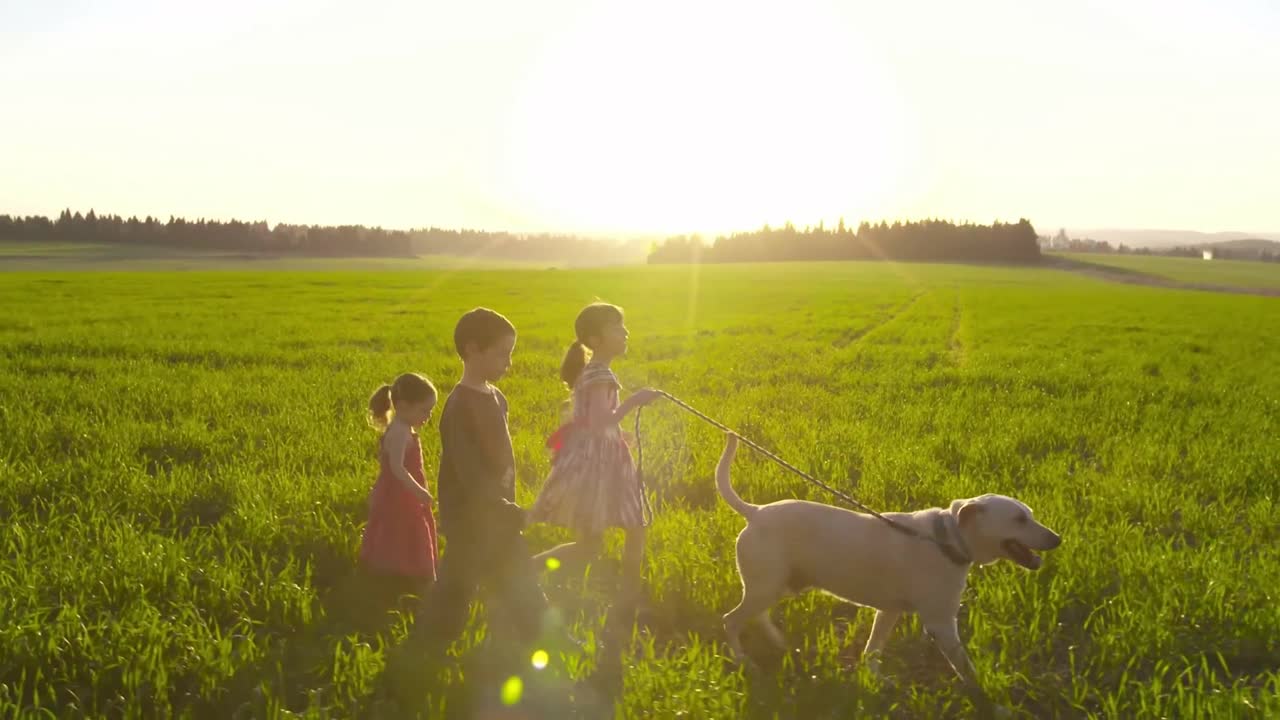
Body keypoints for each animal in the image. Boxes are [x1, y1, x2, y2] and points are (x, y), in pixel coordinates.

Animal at [716, 430, 1064, 681]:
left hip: (778, 585)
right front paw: (993, 703)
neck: (945, 539)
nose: (1057, 539)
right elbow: (967, 671)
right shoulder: (941, 623)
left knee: (757, 615)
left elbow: (873, 649)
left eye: (1029, 515)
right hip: (766, 586)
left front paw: (874, 679)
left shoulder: (889, 612)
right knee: (731, 621)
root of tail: (755, 511)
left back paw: (776, 642)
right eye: (1019, 519)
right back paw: (744, 661)